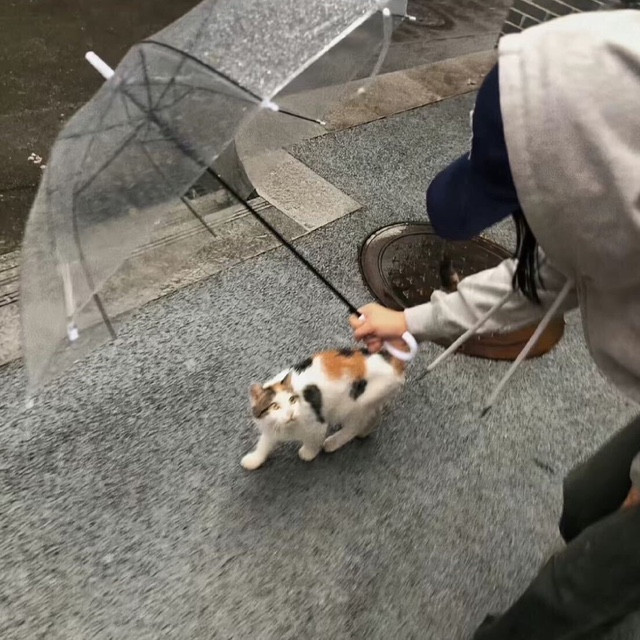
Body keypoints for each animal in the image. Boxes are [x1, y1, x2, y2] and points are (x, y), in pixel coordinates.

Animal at [241, 347, 406, 470]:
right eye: (275, 406)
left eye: (292, 400)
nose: (291, 413)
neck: (286, 427)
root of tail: (394, 362)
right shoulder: (269, 426)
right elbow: (264, 443)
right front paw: (254, 460)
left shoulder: (316, 425)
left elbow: (313, 442)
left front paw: (308, 453)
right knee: (373, 415)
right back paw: (365, 431)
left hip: (354, 405)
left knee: (354, 426)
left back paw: (333, 442)